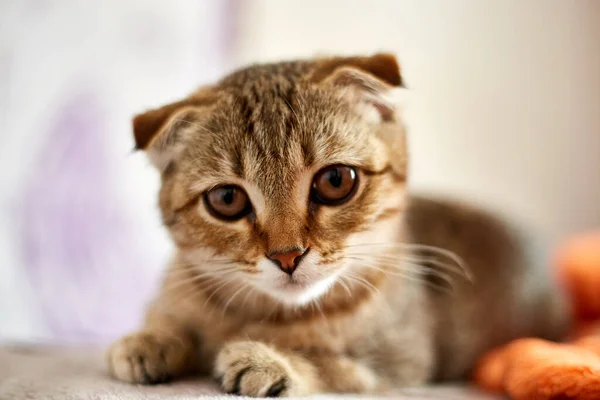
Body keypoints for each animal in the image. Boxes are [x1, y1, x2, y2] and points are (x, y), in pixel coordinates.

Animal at [109, 54, 572, 396]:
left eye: (335, 181)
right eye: (227, 200)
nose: (287, 256)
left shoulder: (401, 362)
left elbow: (334, 365)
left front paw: (272, 360)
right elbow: (169, 317)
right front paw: (152, 339)